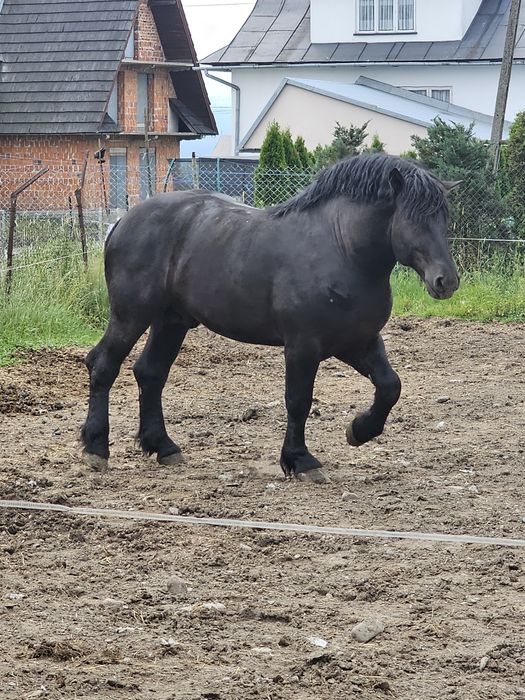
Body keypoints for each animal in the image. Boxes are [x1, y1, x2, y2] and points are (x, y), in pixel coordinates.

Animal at [82, 153, 458, 482]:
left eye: (444, 219)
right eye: (413, 219)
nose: (446, 281)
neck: (342, 250)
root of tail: (123, 221)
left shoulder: (358, 341)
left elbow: (390, 386)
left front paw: (359, 430)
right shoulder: (303, 346)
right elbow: (298, 401)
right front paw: (301, 461)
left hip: (171, 321)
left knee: (151, 373)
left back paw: (164, 447)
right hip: (131, 316)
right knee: (103, 365)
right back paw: (96, 449)